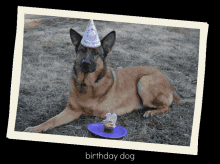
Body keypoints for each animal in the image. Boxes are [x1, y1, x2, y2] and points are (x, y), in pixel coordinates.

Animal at [24, 27, 182, 133]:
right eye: (82, 50)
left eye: (96, 53)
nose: (85, 63)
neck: (87, 84)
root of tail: (169, 83)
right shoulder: (71, 111)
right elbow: (51, 120)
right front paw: (35, 128)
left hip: (143, 82)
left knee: (167, 107)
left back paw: (150, 112)